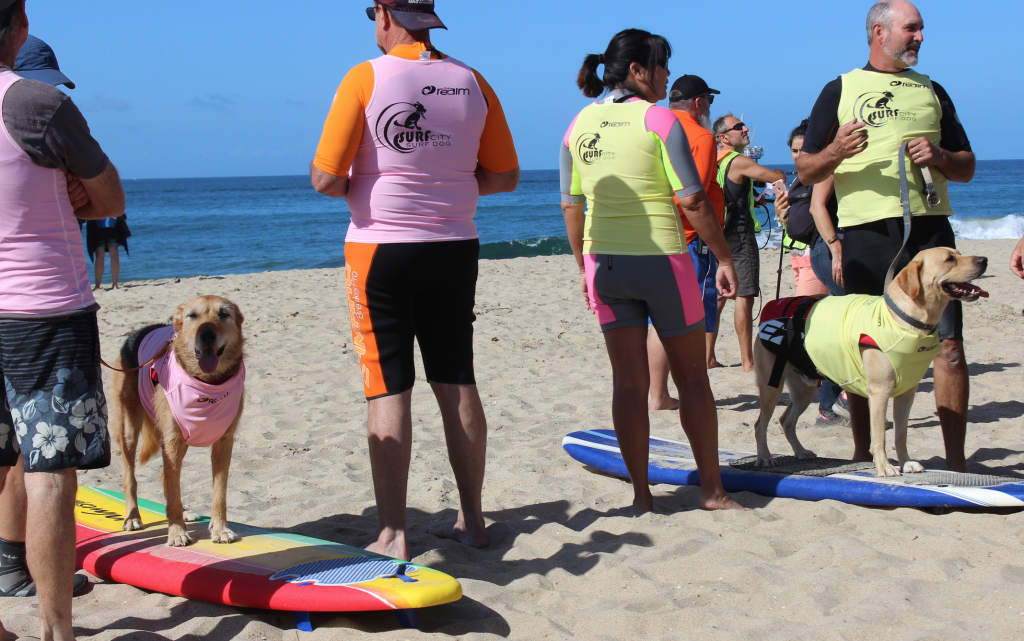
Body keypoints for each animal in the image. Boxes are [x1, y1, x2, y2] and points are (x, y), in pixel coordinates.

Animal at [111, 294, 246, 544]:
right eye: (192, 315)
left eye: (223, 314)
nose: (206, 334)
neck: (207, 384)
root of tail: (140, 331)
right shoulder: (172, 441)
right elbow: (173, 493)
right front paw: (176, 532)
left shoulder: (223, 442)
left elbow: (219, 494)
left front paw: (220, 528)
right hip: (130, 429)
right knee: (130, 476)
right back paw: (133, 516)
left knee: (164, 476)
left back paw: (184, 512)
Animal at [757, 246, 987, 477]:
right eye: (949, 259)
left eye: (958, 253)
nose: (983, 260)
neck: (903, 319)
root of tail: (773, 306)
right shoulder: (880, 392)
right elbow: (879, 438)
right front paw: (884, 466)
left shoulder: (906, 394)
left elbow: (901, 435)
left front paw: (906, 462)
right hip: (772, 388)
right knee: (760, 424)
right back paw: (765, 457)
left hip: (804, 389)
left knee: (786, 421)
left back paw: (800, 451)